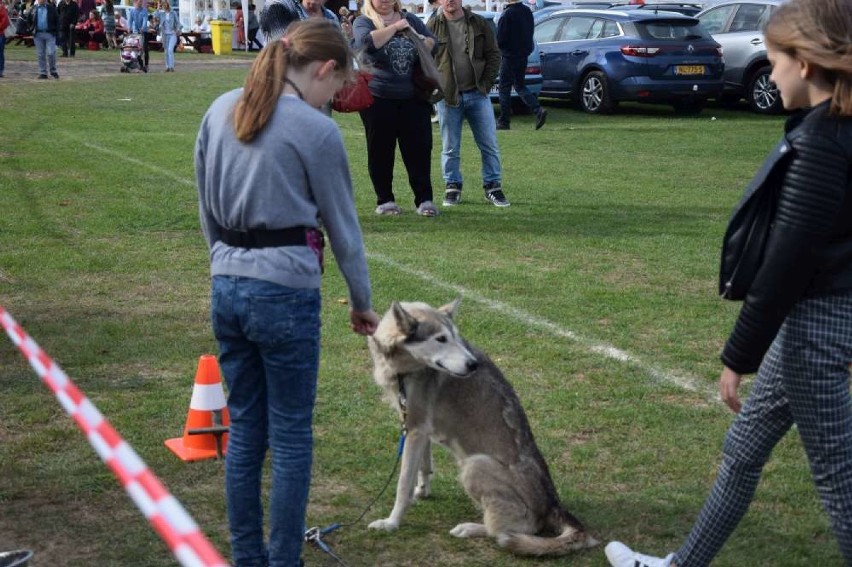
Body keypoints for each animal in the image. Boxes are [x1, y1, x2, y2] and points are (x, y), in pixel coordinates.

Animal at [366, 300, 600, 556]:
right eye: (441, 339)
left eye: (456, 336)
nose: (473, 365)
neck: (402, 365)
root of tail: (554, 504)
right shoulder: (419, 428)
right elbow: (424, 468)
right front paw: (423, 491)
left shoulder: (414, 429)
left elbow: (403, 486)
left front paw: (391, 523)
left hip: (473, 465)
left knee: (516, 530)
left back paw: (469, 528)